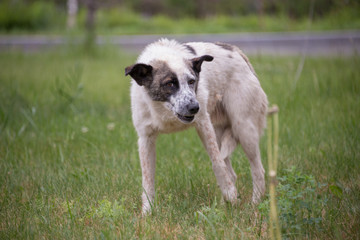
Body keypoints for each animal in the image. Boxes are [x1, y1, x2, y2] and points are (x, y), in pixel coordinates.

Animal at [124, 39, 268, 214]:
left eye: (192, 82)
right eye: (169, 84)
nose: (195, 107)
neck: (166, 112)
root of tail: (237, 51)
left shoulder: (203, 124)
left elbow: (217, 164)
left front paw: (230, 195)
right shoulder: (146, 138)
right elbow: (147, 179)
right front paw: (147, 212)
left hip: (244, 129)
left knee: (257, 170)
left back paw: (254, 204)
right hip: (220, 133)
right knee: (232, 173)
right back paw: (225, 205)